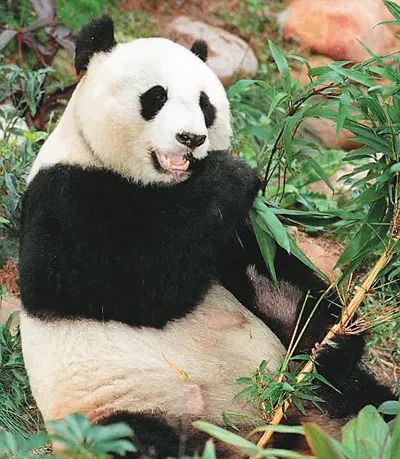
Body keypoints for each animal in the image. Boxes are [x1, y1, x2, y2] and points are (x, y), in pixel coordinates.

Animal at [19, 15, 391, 458]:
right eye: (156, 96)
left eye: (204, 104)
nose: (191, 139)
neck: (159, 186)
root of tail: (261, 433)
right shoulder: (65, 196)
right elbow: (129, 283)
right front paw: (229, 171)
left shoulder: (234, 230)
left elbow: (270, 279)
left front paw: (333, 338)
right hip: (114, 409)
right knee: (136, 439)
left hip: (315, 397)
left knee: (364, 403)